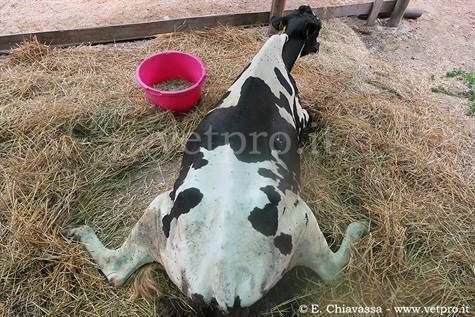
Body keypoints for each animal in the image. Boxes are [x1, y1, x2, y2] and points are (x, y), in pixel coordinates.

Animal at [64, 5, 368, 316]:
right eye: (317, 28)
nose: (318, 46)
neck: (274, 57)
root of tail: (220, 283)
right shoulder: (300, 113)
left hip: (159, 213)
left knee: (117, 268)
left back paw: (78, 230)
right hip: (300, 218)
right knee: (332, 269)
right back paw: (358, 229)